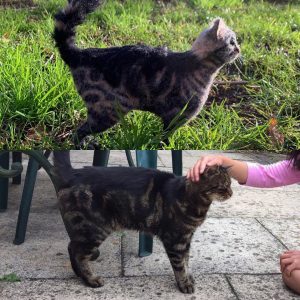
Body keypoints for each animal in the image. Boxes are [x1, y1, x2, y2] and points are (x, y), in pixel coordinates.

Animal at [53, 150, 232, 292]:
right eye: (223, 185)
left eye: (230, 184)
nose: (231, 193)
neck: (194, 200)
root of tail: (73, 173)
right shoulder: (175, 240)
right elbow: (180, 265)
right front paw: (184, 284)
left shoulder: (186, 239)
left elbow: (186, 261)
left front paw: (189, 278)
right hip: (95, 229)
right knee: (78, 252)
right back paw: (90, 280)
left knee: (72, 247)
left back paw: (79, 274)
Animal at [54, 0, 240, 148]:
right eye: (232, 42)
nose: (239, 48)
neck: (197, 64)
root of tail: (79, 54)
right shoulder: (174, 117)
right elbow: (166, 137)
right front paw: (167, 147)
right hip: (106, 111)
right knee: (79, 131)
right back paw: (83, 145)